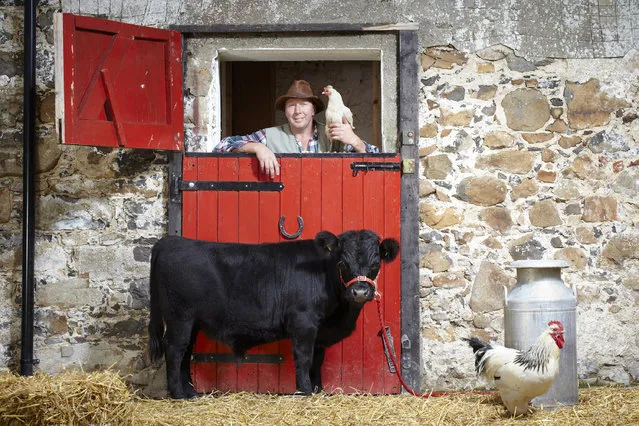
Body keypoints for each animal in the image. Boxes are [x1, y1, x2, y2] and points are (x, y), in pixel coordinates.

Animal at [150, 230, 400, 400]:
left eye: (375, 264)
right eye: (342, 263)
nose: (360, 292)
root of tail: (169, 241)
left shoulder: (319, 331)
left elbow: (317, 359)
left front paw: (318, 390)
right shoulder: (303, 322)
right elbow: (304, 357)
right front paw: (304, 391)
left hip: (192, 321)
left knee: (185, 352)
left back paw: (190, 391)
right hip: (179, 317)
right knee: (175, 349)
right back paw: (178, 393)